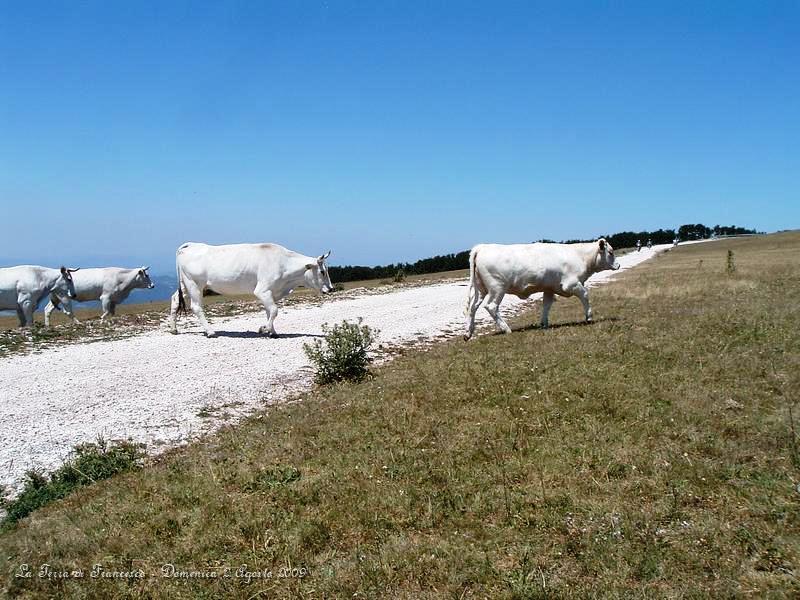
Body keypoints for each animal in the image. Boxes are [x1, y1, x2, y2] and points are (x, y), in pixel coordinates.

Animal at [167, 243, 332, 338]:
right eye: (322, 271)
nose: (331, 289)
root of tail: (190, 245)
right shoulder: (262, 290)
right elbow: (274, 310)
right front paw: (263, 328)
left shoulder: (271, 292)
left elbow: (269, 311)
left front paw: (272, 332)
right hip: (194, 284)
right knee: (196, 307)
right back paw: (210, 332)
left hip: (185, 284)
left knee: (175, 300)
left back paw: (174, 329)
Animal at [462, 240, 620, 342]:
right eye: (611, 252)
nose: (618, 265)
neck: (580, 256)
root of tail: (482, 247)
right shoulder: (571, 284)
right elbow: (585, 295)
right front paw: (589, 317)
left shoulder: (550, 288)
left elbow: (546, 305)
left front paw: (544, 323)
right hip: (497, 288)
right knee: (491, 307)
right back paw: (506, 329)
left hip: (482, 289)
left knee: (473, 308)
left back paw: (468, 333)